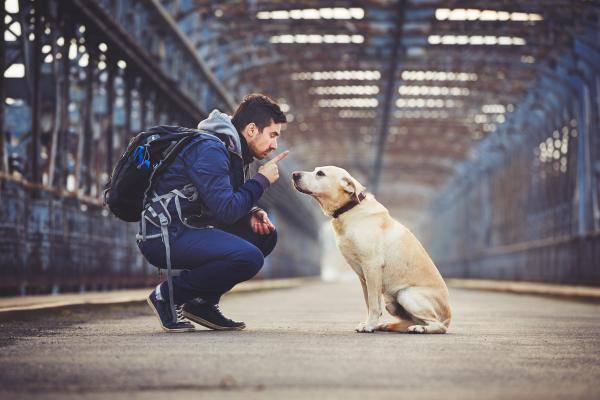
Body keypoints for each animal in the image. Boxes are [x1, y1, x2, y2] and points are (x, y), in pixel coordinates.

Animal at [290, 166, 450, 334]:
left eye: (320, 173)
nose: (294, 174)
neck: (350, 209)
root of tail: (449, 316)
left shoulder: (371, 266)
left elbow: (373, 303)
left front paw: (369, 325)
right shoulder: (363, 276)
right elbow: (369, 302)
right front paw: (371, 323)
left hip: (406, 294)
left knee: (438, 325)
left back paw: (420, 328)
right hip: (392, 301)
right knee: (411, 320)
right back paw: (388, 325)